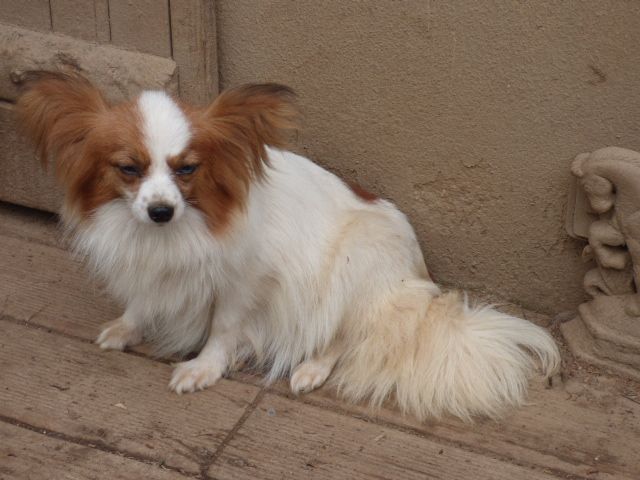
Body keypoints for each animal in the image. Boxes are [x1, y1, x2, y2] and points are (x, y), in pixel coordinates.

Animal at [15, 71, 560, 421]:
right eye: (128, 169)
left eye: (187, 169)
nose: (161, 210)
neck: (172, 233)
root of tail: (419, 284)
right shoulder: (150, 270)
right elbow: (142, 302)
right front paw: (129, 327)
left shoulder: (245, 283)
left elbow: (223, 327)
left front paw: (206, 366)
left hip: (352, 266)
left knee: (343, 336)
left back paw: (309, 368)